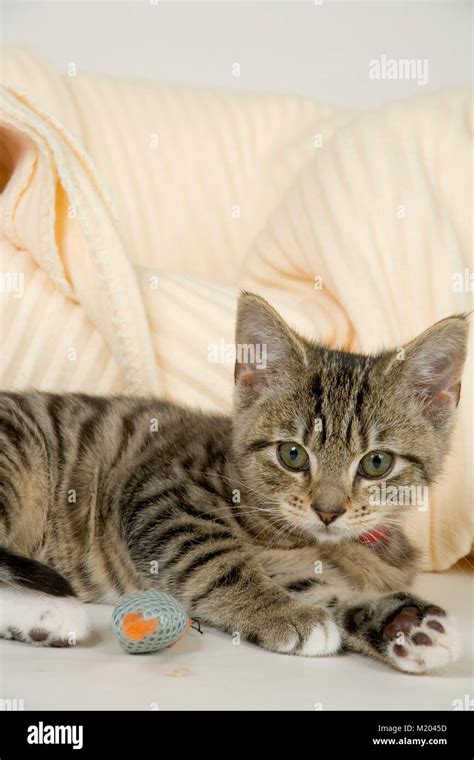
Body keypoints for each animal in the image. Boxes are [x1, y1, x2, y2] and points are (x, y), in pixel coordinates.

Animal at [0, 294, 468, 672]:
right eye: (292, 454)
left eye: (376, 463)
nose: (328, 511)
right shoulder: (164, 499)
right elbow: (215, 563)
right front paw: (287, 615)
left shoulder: (298, 568)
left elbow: (330, 592)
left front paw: (404, 624)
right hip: (15, 457)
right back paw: (53, 616)